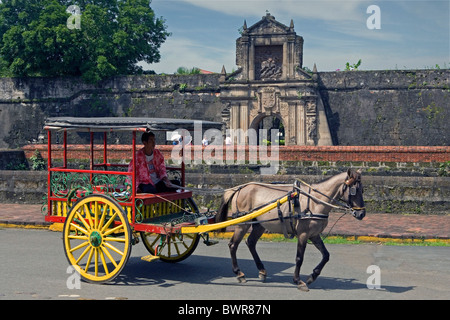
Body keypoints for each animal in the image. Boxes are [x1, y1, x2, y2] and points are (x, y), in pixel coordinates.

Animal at [215, 169, 366, 292]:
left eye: (362, 190)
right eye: (354, 190)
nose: (361, 214)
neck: (315, 202)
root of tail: (238, 189)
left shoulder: (314, 234)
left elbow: (326, 255)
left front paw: (312, 276)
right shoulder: (303, 234)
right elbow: (299, 258)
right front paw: (298, 281)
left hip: (259, 224)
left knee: (250, 242)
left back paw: (262, 271)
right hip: (242, 223)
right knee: (233, 245)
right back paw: (239, 273)